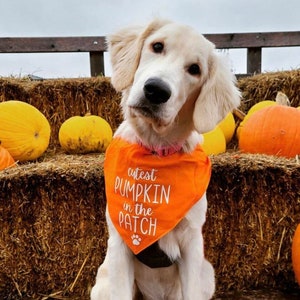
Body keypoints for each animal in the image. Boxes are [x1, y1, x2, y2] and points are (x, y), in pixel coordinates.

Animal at [90, 19, 240, 300]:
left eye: (195, 69)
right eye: (157, 46)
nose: (156, 90)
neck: (156, 152)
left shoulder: (192, 244)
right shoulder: (119, 243)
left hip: (206, 274)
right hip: (102, 283)